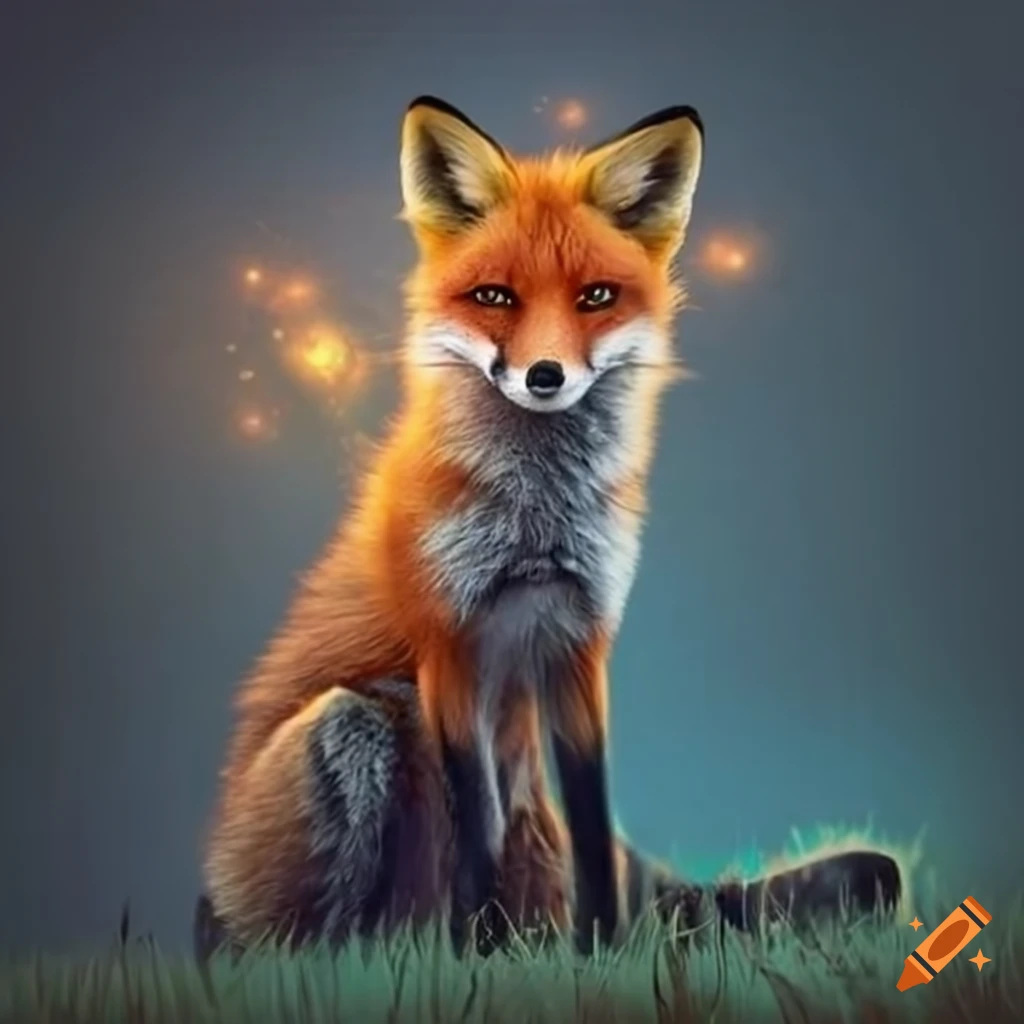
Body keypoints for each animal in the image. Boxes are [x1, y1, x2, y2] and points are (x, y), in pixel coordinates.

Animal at [202, 96, 902, 958]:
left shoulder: (578, 641)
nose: (545, 376)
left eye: (596, 297)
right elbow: (474, 828)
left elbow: (595, 825)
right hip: (350, 724)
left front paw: (600, 950)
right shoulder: (451, 649)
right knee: (291, 941)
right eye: (495, 297)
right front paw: (472, 954)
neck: (536, 523)